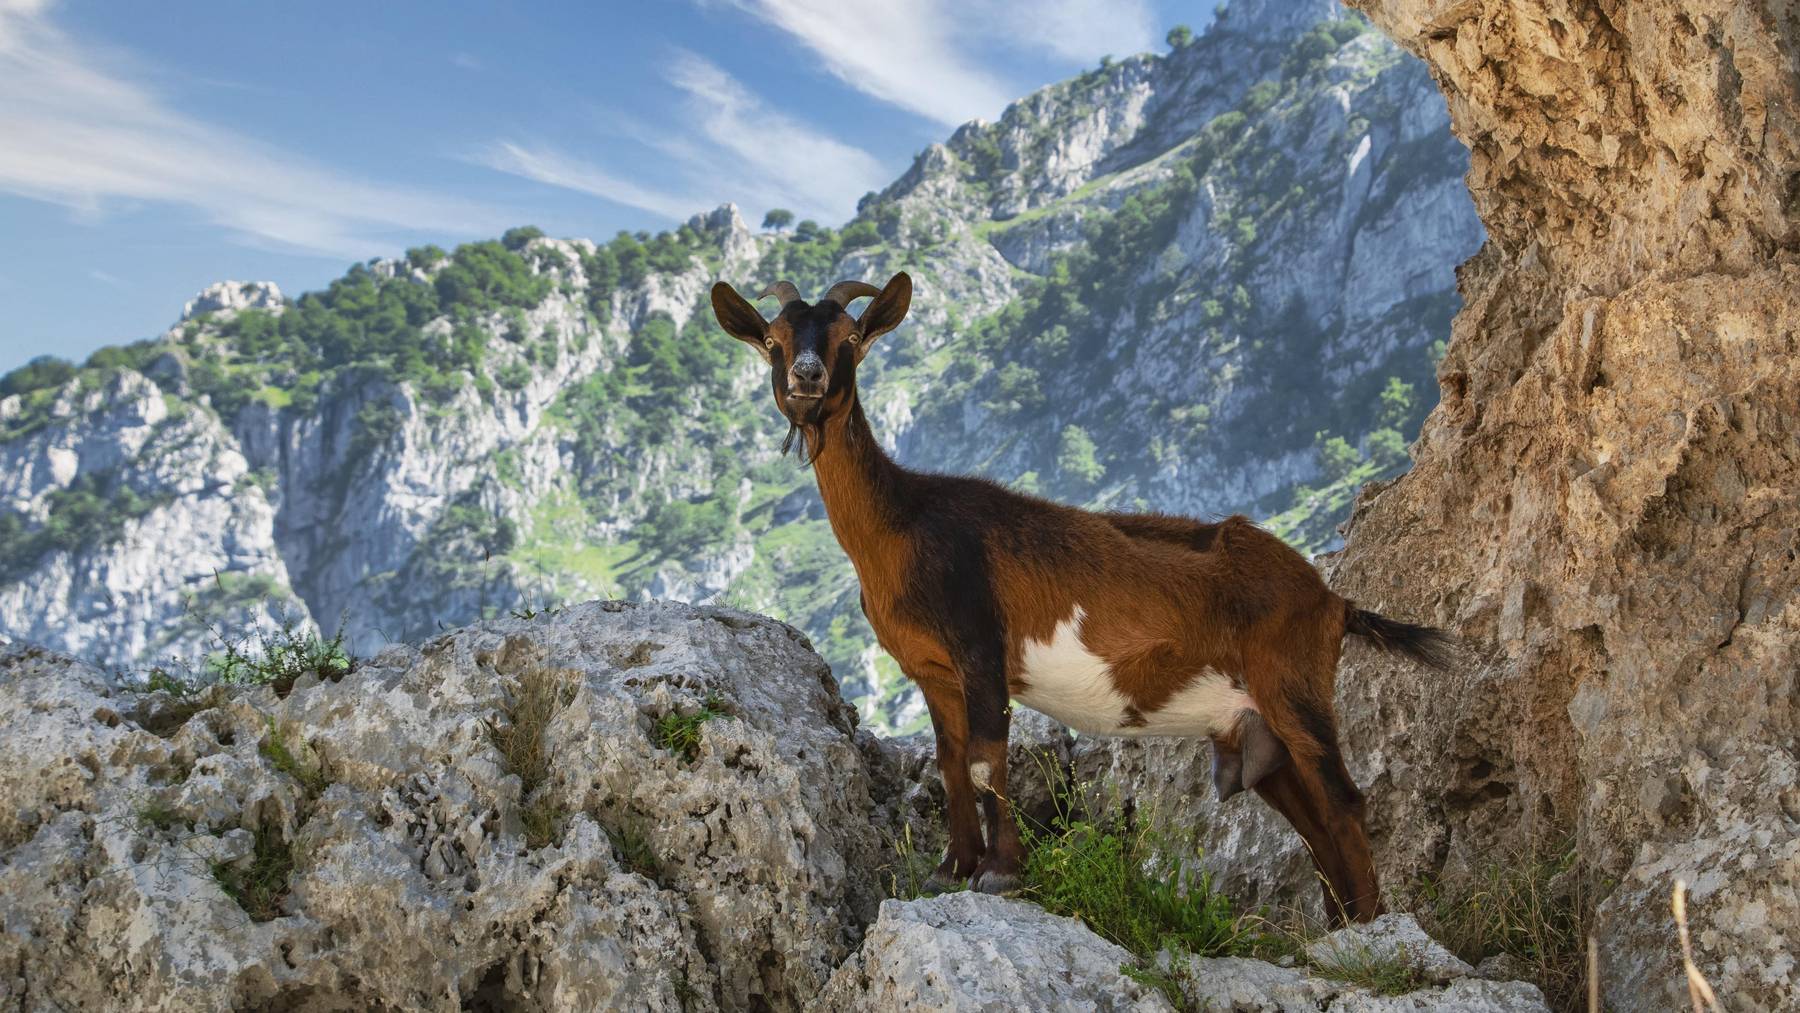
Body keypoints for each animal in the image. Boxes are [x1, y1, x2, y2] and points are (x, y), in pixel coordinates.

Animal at [705, 273, 1447, 921]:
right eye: (772, 338)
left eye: (852, 337)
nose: (807, 377)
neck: (905, 524)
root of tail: (1332, 601)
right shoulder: (932, 671)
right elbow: (950, 765)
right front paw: (952, 868)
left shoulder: (981, 647)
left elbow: (985, 761)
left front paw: (1001, 871)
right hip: (1255, 725)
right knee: (1311, 817)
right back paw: (1339, 924)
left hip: (1294, 685)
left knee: (1344, 801)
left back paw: (1372, 927)